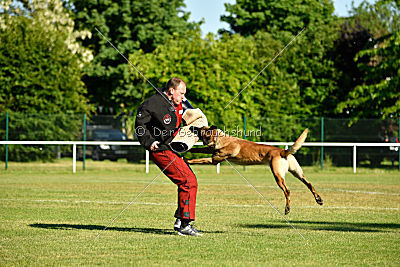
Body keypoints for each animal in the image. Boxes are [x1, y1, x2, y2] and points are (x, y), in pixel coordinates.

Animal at [187, 126, 322, 216]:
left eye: (200, 129)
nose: (192, 126)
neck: (219, 138)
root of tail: (283, 151)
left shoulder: (213, 160)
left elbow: (198, 159)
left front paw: (187, 160)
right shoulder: (211, 151)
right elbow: (198, 150)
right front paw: (188, 150)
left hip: (278, 176)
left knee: (287, 191)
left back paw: (287, 208)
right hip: (297, 173)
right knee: (309, 184)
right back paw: (318, 199)